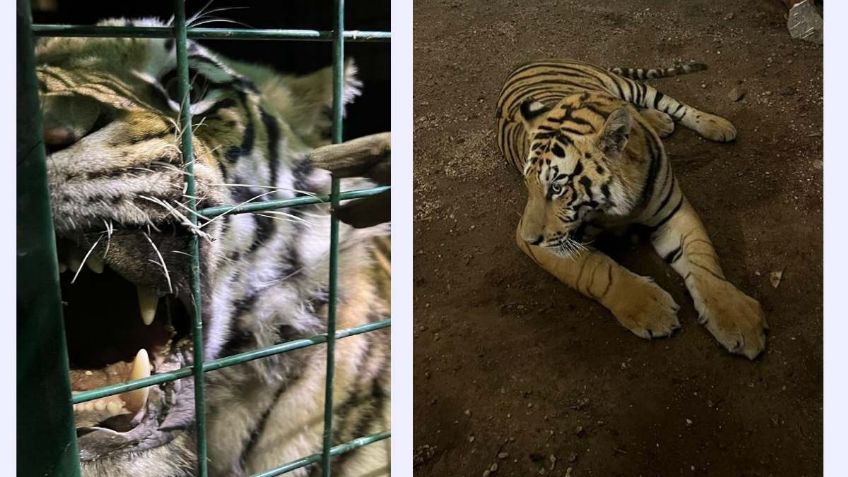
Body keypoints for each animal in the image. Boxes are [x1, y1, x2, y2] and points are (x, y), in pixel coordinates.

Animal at [496, 58, 768, 356]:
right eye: (527, 184)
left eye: (557, 187)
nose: (529, 238)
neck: (614, 208)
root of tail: (528, 61)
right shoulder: (553, 243)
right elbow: (598, 270)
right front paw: (651, 310)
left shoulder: (674, 212)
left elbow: (703, 260)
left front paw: (738, 318)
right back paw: (659, 122)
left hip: (631, 87)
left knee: (671, 104)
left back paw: (714, 124)